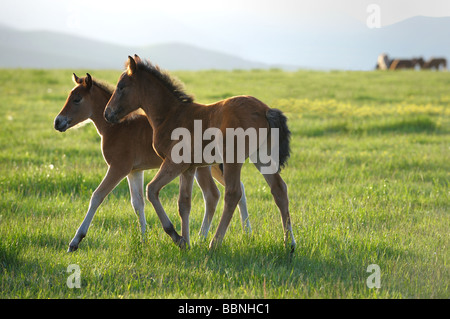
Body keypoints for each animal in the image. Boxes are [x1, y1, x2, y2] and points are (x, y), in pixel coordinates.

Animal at [55, 73, 251, 252]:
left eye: (77, 99)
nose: (57, 122)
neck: (117, 127)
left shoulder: (118, 168)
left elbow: (97, 196)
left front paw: (75, 241)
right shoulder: (134, 171)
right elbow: (138, 203)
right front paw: (143, 240)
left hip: (206, 167)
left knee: (215, 194)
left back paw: (212, 237)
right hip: (211, 166)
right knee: (230, 190)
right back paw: (241, 233)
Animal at [104, 55, 296, 252]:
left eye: (121, 87)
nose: (107, 113)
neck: (170, 115)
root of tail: (266, 110)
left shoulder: (174, 163)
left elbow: (152, 190)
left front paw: (176, 236)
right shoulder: (189, 168)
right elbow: (184, 204)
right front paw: (186, 243)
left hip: (232, 159)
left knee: (233, 193)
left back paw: (215, 243)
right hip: (261, 157)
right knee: (279, 189)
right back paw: (289, 244)